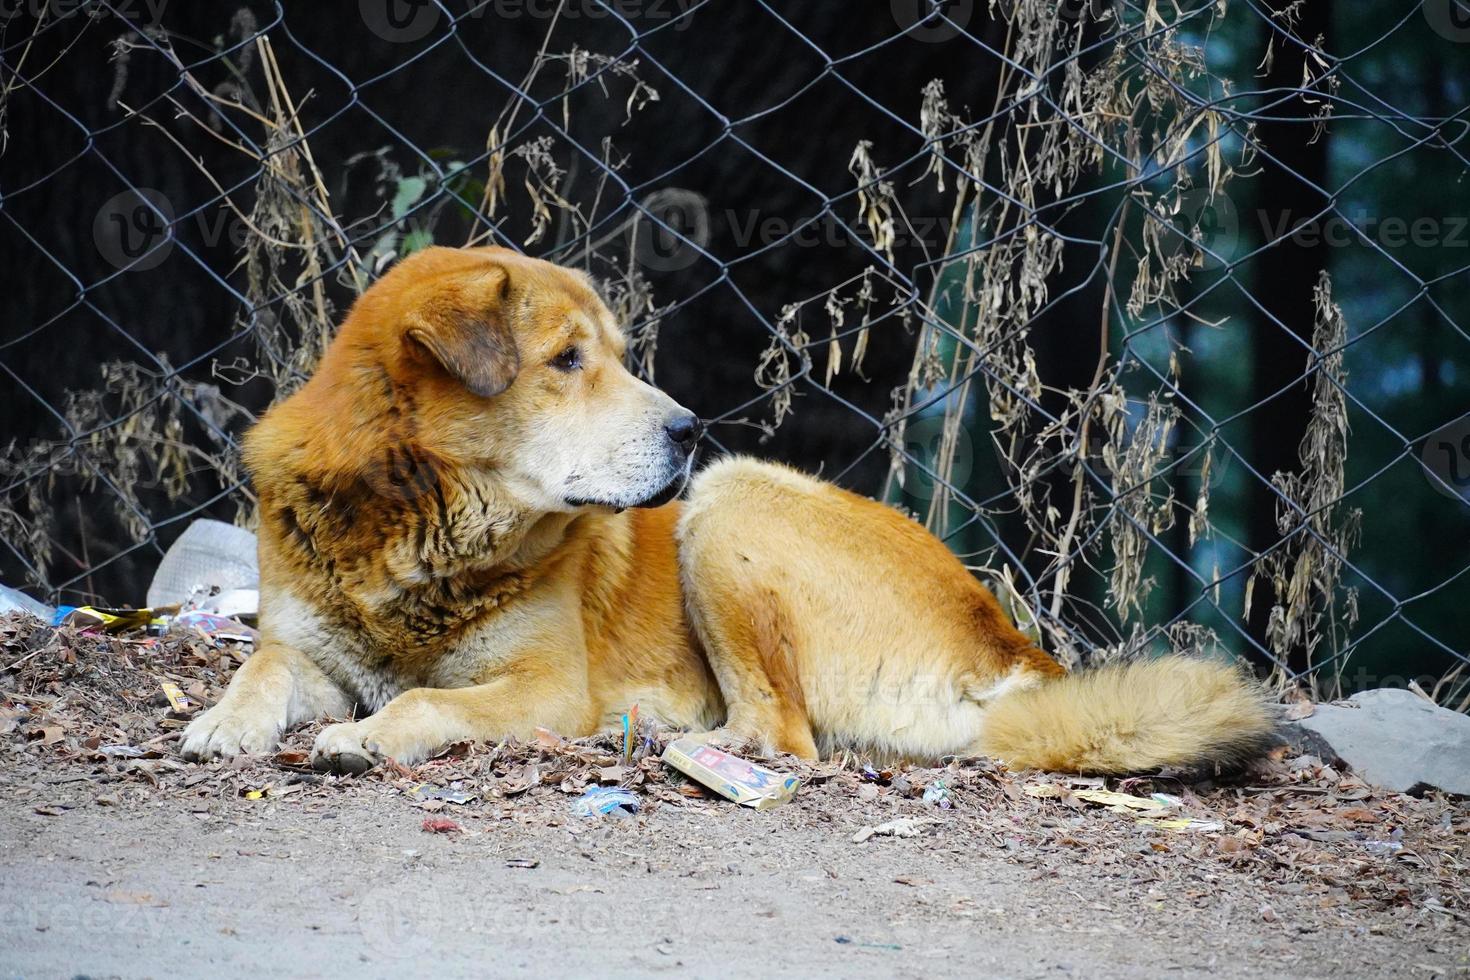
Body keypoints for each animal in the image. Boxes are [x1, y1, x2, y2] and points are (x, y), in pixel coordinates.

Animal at [183, 243, 1275, 775]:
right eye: (568, 360)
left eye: (615, 355)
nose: (687, 426)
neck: (422, 527)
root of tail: (1014, 649)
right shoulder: (306, 645)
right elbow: (262, 666)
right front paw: (219, 724)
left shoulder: (542, 686)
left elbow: (422, 700)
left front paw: (367, 737)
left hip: (732, 499)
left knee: (781, 732)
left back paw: (659, 734)